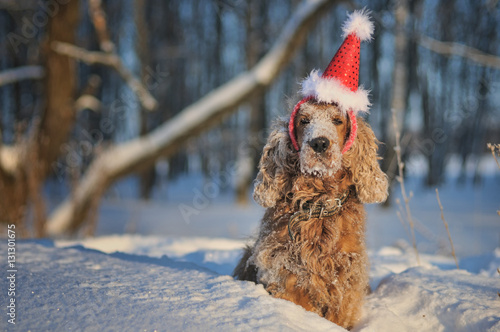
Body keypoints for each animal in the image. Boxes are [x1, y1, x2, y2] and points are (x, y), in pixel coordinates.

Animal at [232, 99, 388, 330]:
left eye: (337, 120)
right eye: (304, 120)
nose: (320, 143)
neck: (318, 203)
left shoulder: (345, 275)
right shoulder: (285, 268)